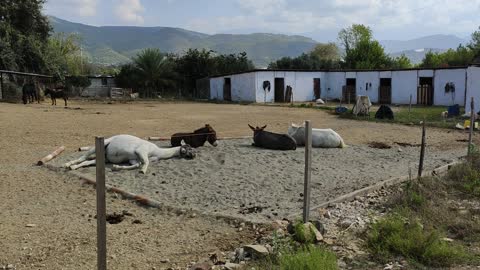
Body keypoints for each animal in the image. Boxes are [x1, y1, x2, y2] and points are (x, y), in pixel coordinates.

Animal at [63, 134, 195, 174]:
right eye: (188, 147)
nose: (194, 155)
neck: (157, 151)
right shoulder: (141, 151)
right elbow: (145, 163)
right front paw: (143, 171)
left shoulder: (134, 159)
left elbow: (137, 164)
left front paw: (116, 167)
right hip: (99, 146)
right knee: (83, 157)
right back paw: (68, 164)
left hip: (104, 159)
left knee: (86, 162)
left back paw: (72, 167)